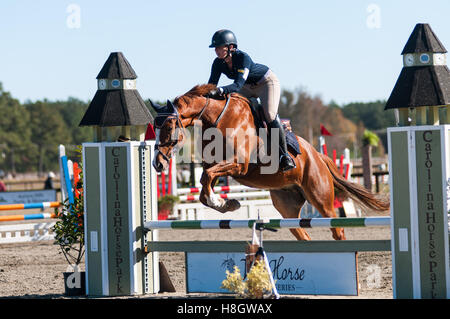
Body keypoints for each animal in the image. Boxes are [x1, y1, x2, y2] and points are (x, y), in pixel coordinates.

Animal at [152, 84, 390, 241]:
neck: (217, 118)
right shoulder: (215, 165)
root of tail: (318, 156)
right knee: (302, 234)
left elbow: (207, 177)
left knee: (337, 230)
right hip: (287, 206)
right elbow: (204, 181)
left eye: (168, 127)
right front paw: (225, 204)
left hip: (321, 198)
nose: (158, 165)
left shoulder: (238, 165)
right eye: (155, 127)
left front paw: (223, 203)